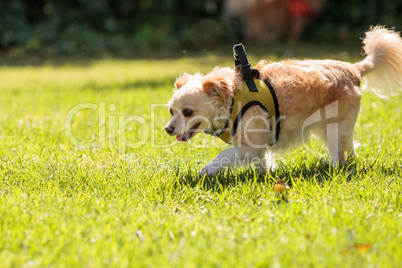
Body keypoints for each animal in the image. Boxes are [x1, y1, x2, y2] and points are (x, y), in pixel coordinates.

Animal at [165, 26, 400, 176]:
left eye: (187, 112)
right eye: (171, 112)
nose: (168, 129)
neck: (232, 101)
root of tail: (354, 69)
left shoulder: (248, 147)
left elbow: (223, 155)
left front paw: (205, 171)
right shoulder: (256, 145)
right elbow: (262, 161)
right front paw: (265, 175)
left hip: (333, 128)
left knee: (338, 154)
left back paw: (333, 171)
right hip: (334, 128)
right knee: (350, 148)